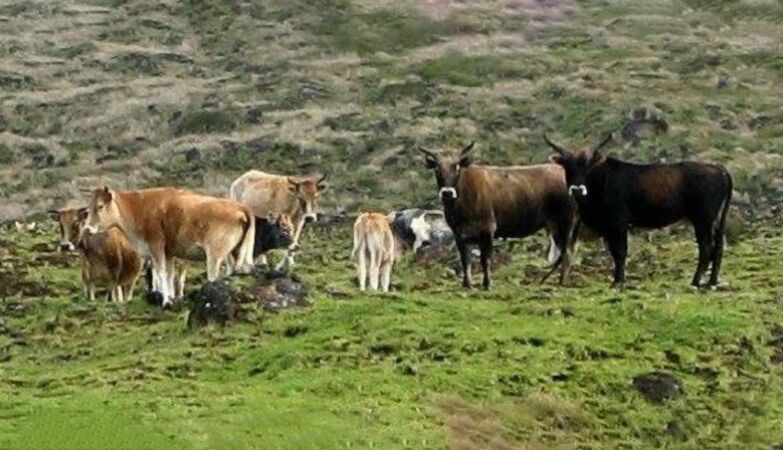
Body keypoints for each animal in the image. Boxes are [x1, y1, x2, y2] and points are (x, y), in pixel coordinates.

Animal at [83, 187, 256, 307]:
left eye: (100, 206)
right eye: (88, 208)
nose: (87, 229)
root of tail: (241, 207)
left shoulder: (156, 245)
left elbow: (160, 273)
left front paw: (166, 301)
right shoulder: (169, 253)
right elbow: (168, 274)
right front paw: (172, 299)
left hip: (215, 254)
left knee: (213, 277)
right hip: (234, 254)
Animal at [419, 142, 577, 290]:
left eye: (457, 167)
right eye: (437, 168)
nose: (447, 192)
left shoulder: (487, 228)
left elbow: (485, 259)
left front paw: (487, 284)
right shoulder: (460, 234)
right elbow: (465, 260)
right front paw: (467, 284)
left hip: (565, 222)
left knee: (567, 251)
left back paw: (562, 281)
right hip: (555, 226)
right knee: (563, 251)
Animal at [544, 133, 733, 288]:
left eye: (588, 166)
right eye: (567, 167)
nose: (577, 189)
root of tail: (718, 169)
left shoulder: (618, 223)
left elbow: (620, 252)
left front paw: (618, 282)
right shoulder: (609, 227)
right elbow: (614, 253)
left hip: (703, 219)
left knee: (706, 248)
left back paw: (695, 281)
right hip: (715, 220)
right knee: (718, 247)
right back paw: (712, 281)